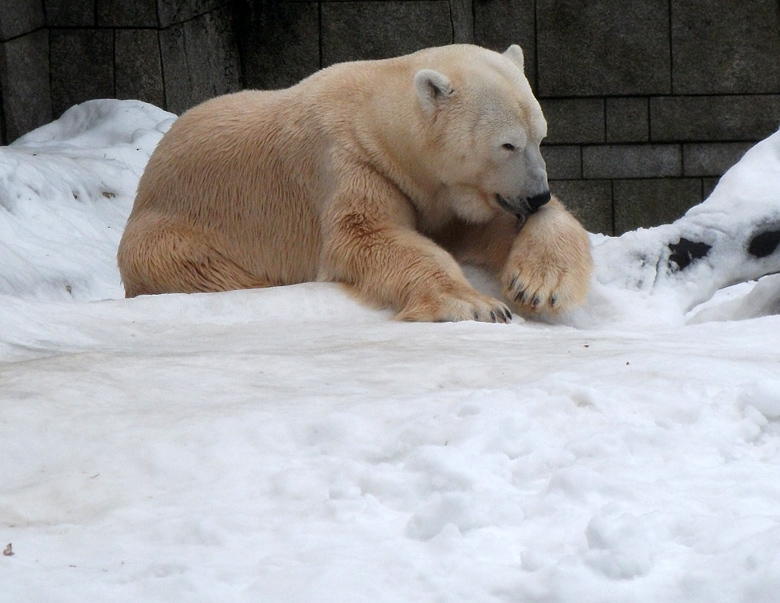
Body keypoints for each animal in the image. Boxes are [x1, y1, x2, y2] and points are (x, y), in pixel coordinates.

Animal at [117, 43, 592, 324]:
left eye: (540, 136)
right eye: (507, 144)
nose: (537, 194)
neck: (375, 118)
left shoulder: (438, 195)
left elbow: (479, 227)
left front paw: (538, 286)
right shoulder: (349, 163)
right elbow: (365, 237)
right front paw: (479, 304)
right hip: (172, 232)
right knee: (204, 270)